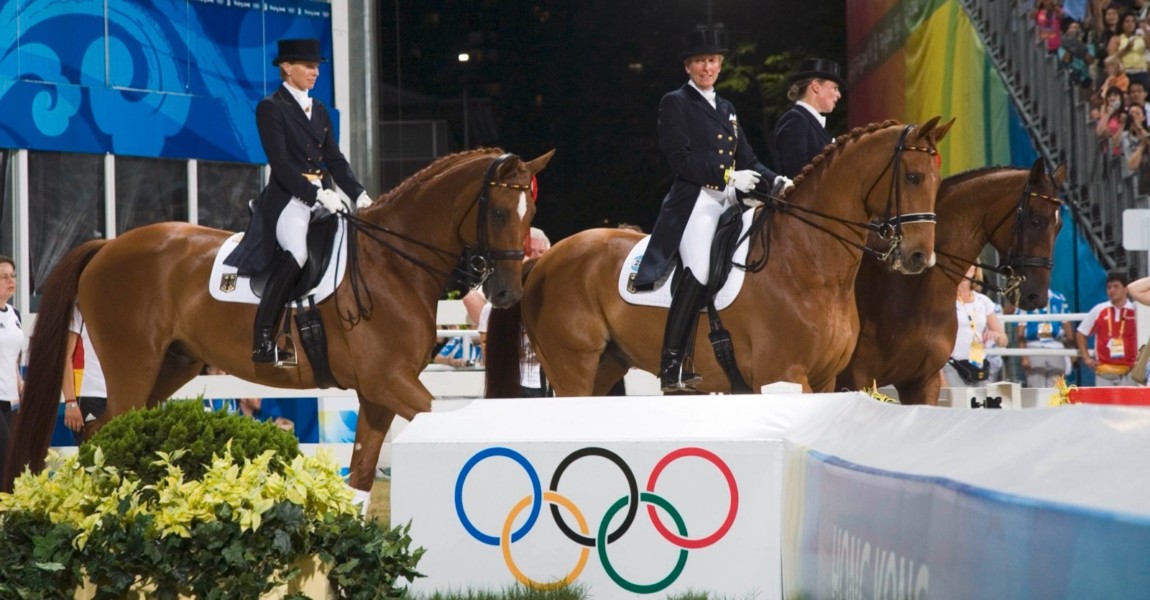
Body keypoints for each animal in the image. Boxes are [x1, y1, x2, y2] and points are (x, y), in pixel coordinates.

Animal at [3, 148, 552, 489]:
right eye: (498, 213)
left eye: (529, 214)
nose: (506, 292)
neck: (393, 263)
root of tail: (106, 246)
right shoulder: (390, 381)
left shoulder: (378, 393)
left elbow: (361, 474)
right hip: (133, 365)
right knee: (105, 433)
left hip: (172, 365)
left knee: (103, 433)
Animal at [485, 118, 952, 395]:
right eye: (913, 177)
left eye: (936, 180)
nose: (918, 257)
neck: (808, 264)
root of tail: (543, 261)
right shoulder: (783, 378)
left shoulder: (825, 380)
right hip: (573, 367)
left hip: (605, 368)